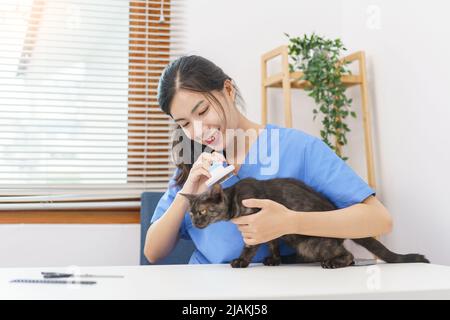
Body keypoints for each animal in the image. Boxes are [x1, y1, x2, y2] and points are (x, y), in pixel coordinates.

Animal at [179, 178, 428, 268]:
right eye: (191, 214)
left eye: (203, 211)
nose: (196, 222)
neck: (234, 199)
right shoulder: (271, 230)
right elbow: (273, 244)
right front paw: (275, 260)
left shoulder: (257, 221)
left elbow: (250, 247)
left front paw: (241, 261)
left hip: (310, 244)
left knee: (348, 255)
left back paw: (334, 263)